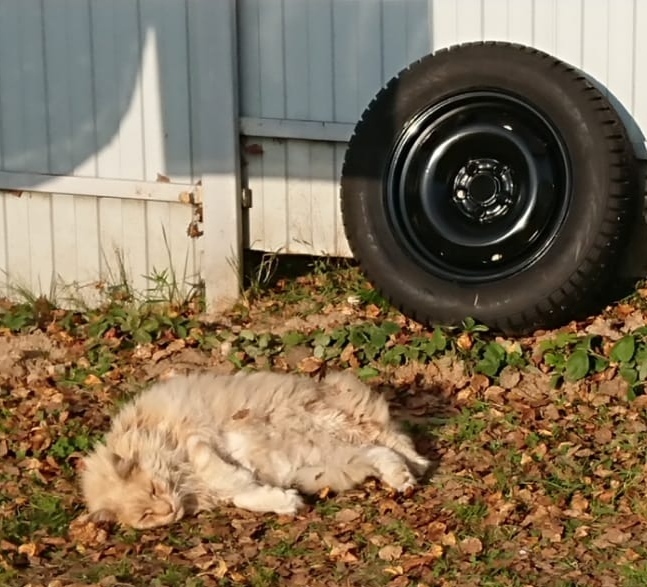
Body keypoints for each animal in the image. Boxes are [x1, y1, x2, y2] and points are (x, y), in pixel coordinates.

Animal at [81, 372, 430, 528]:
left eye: (154, 490)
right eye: (146, 515)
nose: (170, 510)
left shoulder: (196, 438)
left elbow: (228, 476)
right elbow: (244, 495)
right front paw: (283, 501)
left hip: (332, 422)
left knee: (393, 440)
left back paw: (415, 469)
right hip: (335, 459)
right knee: (381, 452)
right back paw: (402, 478)